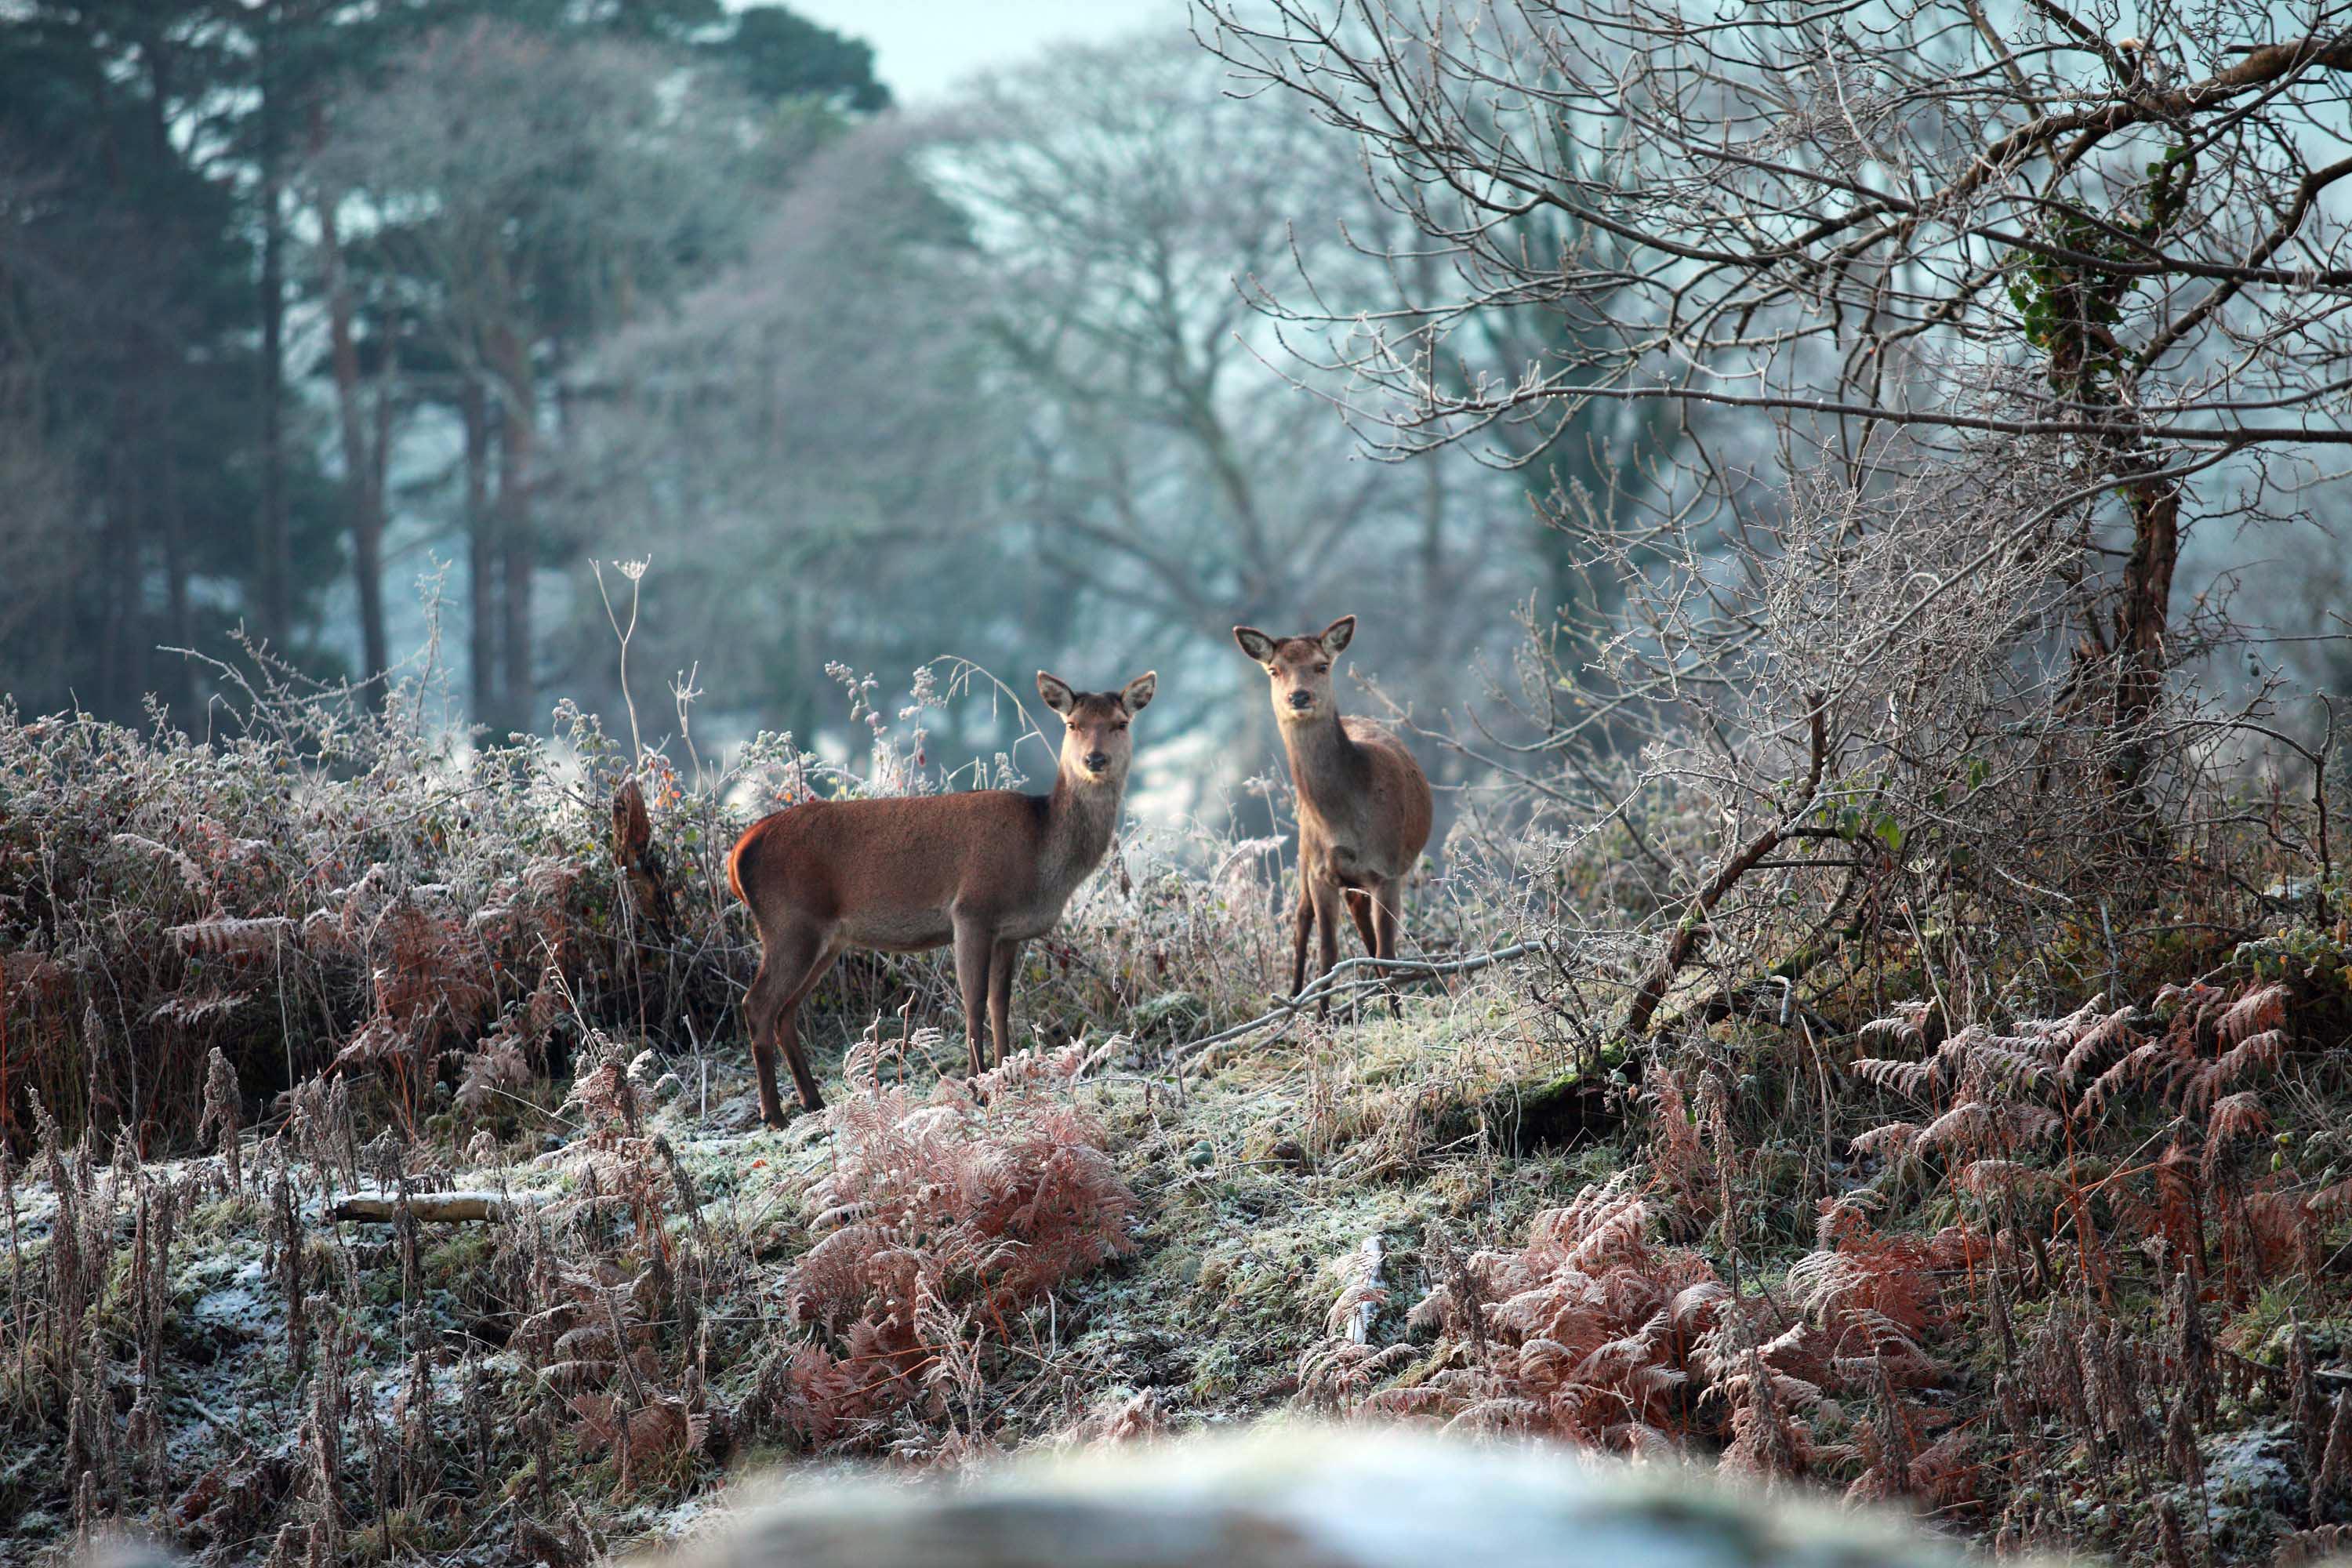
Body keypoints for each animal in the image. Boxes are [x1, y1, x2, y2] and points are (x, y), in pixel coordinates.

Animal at [720, 667, 1152, 1123]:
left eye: (1121, 723)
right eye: (1073, 724)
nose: (1095, 759)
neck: (1041, 856)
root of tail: (738, 853)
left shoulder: (1010, 933)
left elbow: (1001, 1004)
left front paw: (1007, 1079)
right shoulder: (971, 910)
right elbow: (974, 1002)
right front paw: (977, 1088)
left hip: (825, 938)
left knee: (785, 1010)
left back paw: (813, 1102)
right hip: (789, 923)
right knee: (757, 1004)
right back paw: (774, 1114)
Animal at [1232, 611, 1430, 1020]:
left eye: (1322, 665)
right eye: (1275, 670)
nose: (1299, 696)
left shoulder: (1387, 870)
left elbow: (1387, 951)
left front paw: (1399, 1017)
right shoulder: (1321, 872)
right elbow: (1328, 952)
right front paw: (1323, 1019)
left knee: (1365, 928)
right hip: (1304, 852)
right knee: (1300, 918)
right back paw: (1290, 1000)